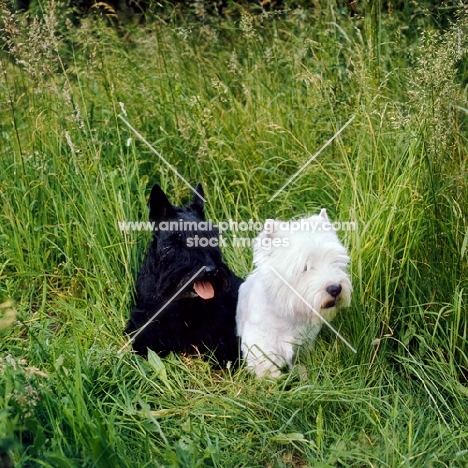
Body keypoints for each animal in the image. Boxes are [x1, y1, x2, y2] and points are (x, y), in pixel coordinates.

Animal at [238, 210, 352, 378]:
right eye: (305, 267)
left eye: (335, 261)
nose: (335, 289)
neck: (287, 316)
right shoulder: (260, 345)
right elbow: (268, 369)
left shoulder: (305, 340)